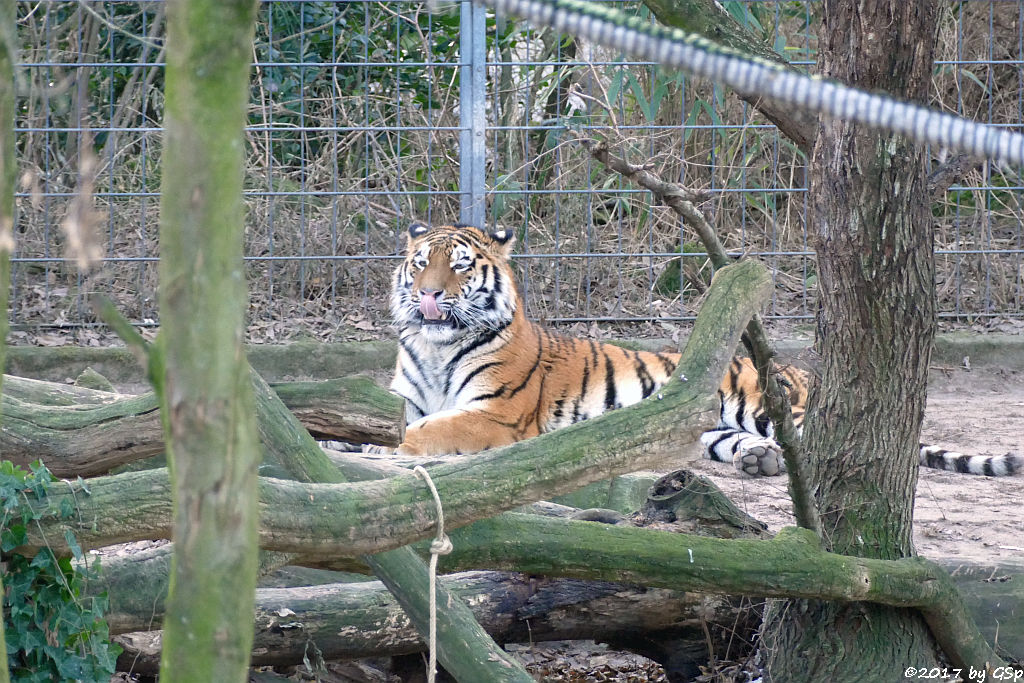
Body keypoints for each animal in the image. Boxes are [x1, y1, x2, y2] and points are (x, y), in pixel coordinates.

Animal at [380, 222, 1019, 479]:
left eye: (460, 266)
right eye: (422, 263)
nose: (430, 293)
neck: (436, 348)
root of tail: (801, 371)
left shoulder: (497, 414)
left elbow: (428, 433)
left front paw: (402, 452)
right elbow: (409, 426)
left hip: (768, 406)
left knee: (828, 445)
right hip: (713, 426)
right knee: (749, 446)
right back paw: (760, 462)